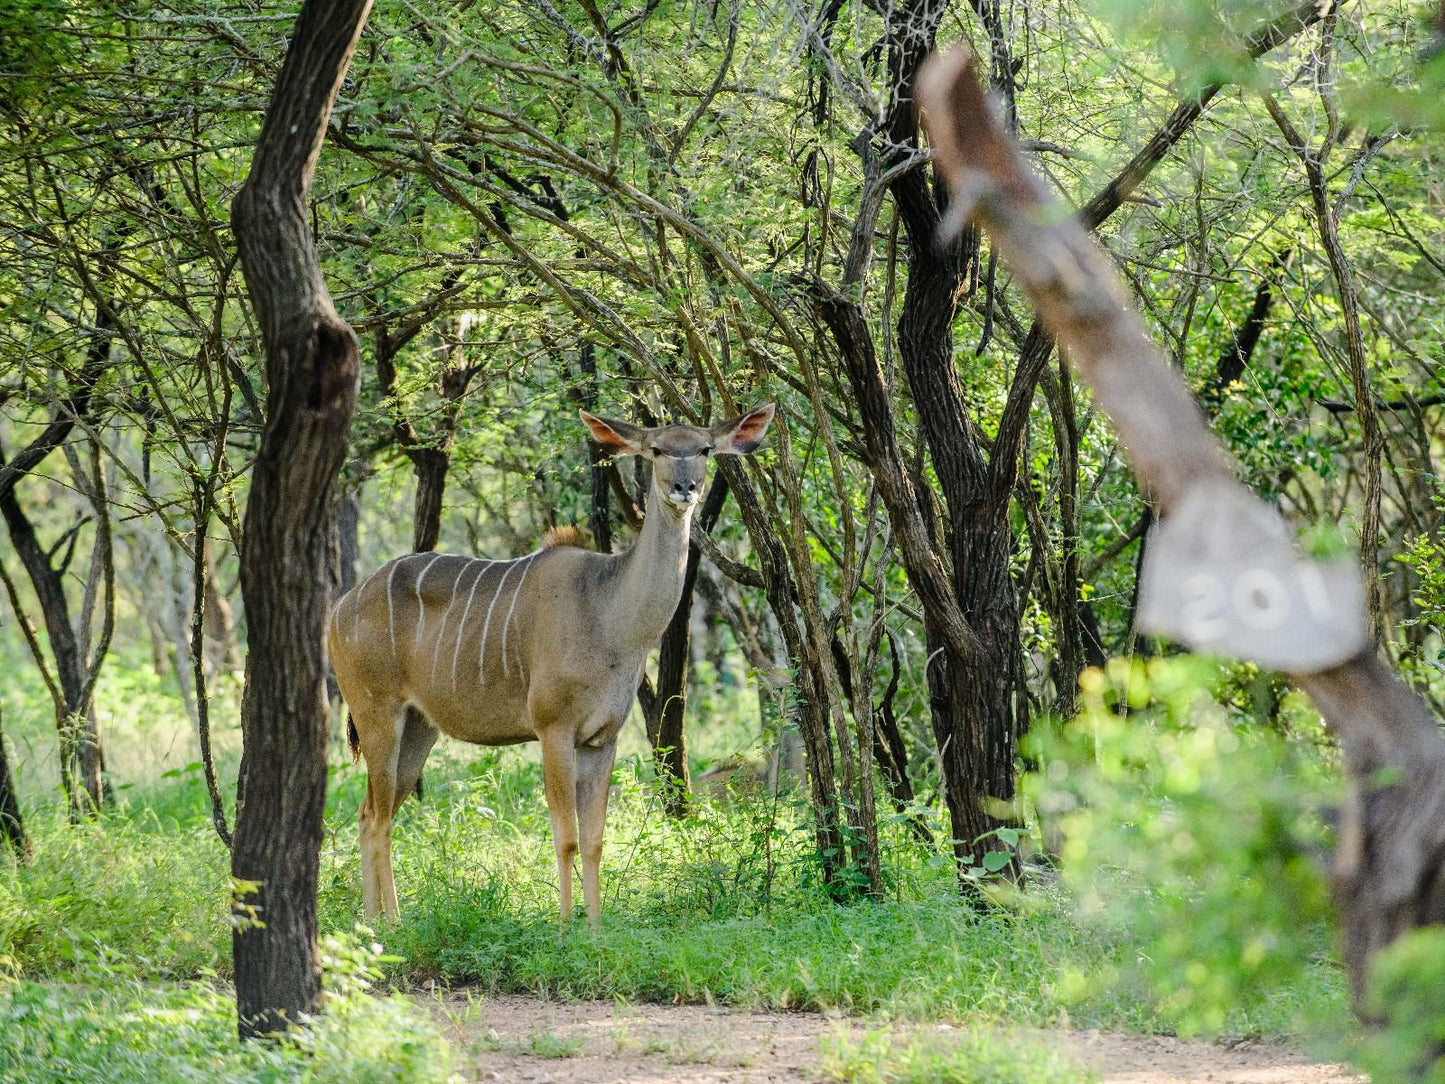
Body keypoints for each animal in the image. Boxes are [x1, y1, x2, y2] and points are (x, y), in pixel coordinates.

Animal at [330, 404, 774, 930]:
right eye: (658, 450)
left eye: (705, 449)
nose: (685, 488)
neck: (608, 611)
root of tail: (339, 608)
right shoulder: (554, 730)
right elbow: (566, 836)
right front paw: (565, 926)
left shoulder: (603, 739)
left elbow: (596, 839)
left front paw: (596, 927)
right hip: (377, 715)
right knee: (378, 817)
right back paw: (387, 925)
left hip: (420, 727)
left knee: (368, 812)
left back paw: (376, 921)